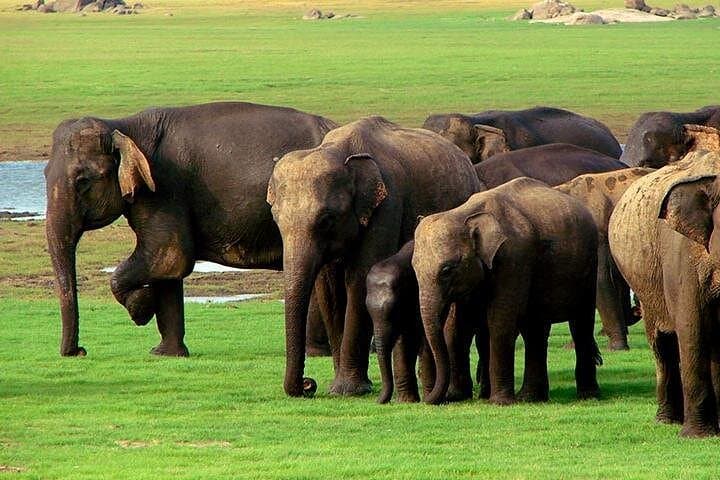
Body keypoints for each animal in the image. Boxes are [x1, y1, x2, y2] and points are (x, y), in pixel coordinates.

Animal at [44, 101, 337, 361]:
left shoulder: (164, 190)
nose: (79, 352)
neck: (123, 125)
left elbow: (168, 256)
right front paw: (166, 354)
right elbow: (168, 269)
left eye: (83, 180)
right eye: (44, 174)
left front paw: (141, 307)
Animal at [366, 240, 488, 404]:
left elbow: (424, 339)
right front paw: (407, 401)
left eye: (394, 310)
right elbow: (403, 342)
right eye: (368, 312)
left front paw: (426, 397)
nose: (378, 401)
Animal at [412, 177, 602, 405]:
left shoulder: (514, 258)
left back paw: (587, 396)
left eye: (447, 270)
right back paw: (531, 398)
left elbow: (500, 321)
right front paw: (456, 396)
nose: (426, 400)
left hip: (589, 268)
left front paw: (499, 402)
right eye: (414, 269)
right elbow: (458, 326)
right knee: (535, 329)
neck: (464, 213)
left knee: (581, 323)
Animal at [608, 128, 720, 437]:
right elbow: (691, 327)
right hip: (646, 286)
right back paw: (667, 420)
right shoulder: (682, 253)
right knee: (663, 344)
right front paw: (696, 436)